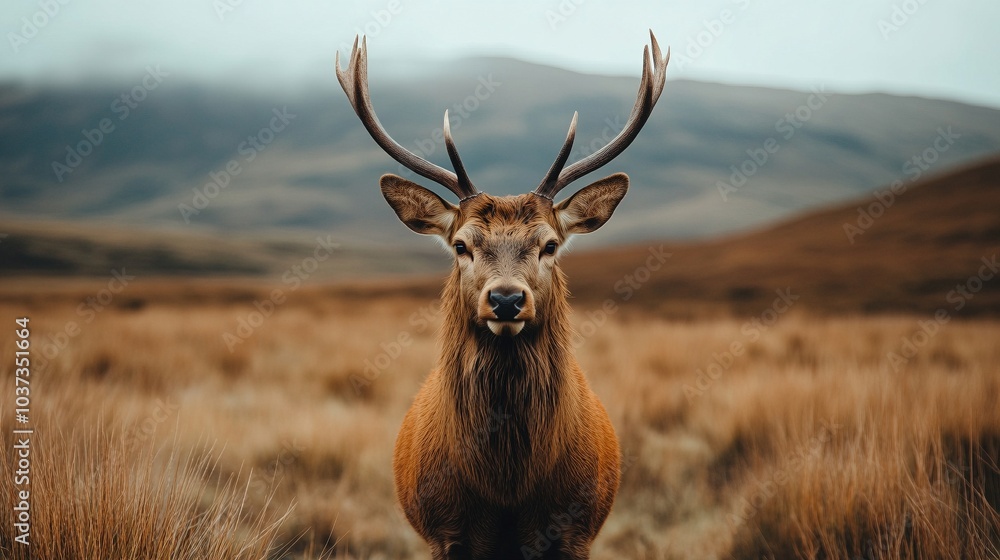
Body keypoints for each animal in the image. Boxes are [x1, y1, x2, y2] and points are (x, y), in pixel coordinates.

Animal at [335, 31, 668, 559]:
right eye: (461, 245)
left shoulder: (576, 530)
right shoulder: (445, 531)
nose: (507, 300)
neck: (507, 487)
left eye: (550, 245)